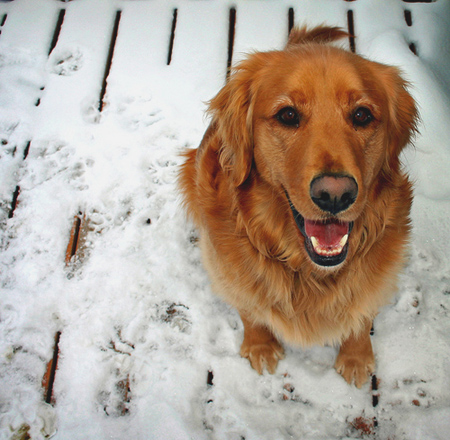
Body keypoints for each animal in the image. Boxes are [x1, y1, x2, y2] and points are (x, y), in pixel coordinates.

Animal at [180, 26, 418, 387]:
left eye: (362, 115)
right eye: (288, 115)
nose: (335, 194)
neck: (308, 272)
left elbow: (362, 312)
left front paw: (356, 356)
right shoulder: (226, 267)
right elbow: (249, 309)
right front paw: (261, 346)